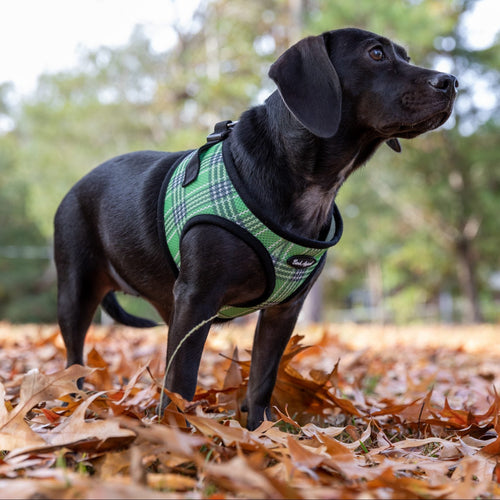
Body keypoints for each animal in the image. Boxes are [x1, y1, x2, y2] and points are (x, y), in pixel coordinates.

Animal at [53, 28, 458, 430]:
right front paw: (177, 429)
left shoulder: (285, 309)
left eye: (405, 56)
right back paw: (73, 399)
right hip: (75, 291)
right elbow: (181, 378)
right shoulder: (196, 297)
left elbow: (263, 376)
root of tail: (73, 189)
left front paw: (259, 430)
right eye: (376, 54)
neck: (312, 185)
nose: (452, 81)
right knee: (74, 356)